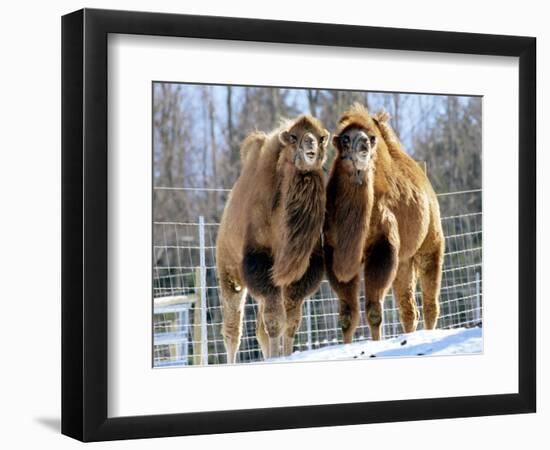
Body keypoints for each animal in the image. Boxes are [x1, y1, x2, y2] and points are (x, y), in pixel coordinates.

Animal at [216, 115, 330, 362]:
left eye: (320, 137)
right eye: (294, 136)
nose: (311, 146)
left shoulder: (301, 270)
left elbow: (291, 321)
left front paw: (285, 355)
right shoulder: (259, 260)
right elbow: (276, 321)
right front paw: (279, 357)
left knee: (259, 329)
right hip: (229, 269)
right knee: (233, 329)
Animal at [326, 103, 446, 342]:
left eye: (369, 140)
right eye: (345, 140)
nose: (362, 148)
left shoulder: (382, 246)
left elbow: (373, 311)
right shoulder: (335, 252)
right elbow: (347, 315)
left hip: (431, 241)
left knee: (430, 302)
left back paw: (429, 333)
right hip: (404, 261)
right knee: (408, 308)